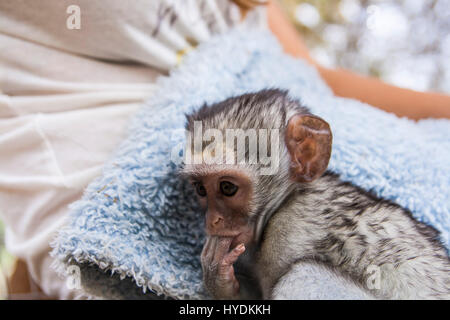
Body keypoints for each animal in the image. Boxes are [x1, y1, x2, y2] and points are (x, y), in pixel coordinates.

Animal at [181, 90, 448, 300]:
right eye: (201, 189)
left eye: (228, 188)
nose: (212, 220)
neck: (285, 201)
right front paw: (220, 280)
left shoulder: (288, 233)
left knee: (302, 276)